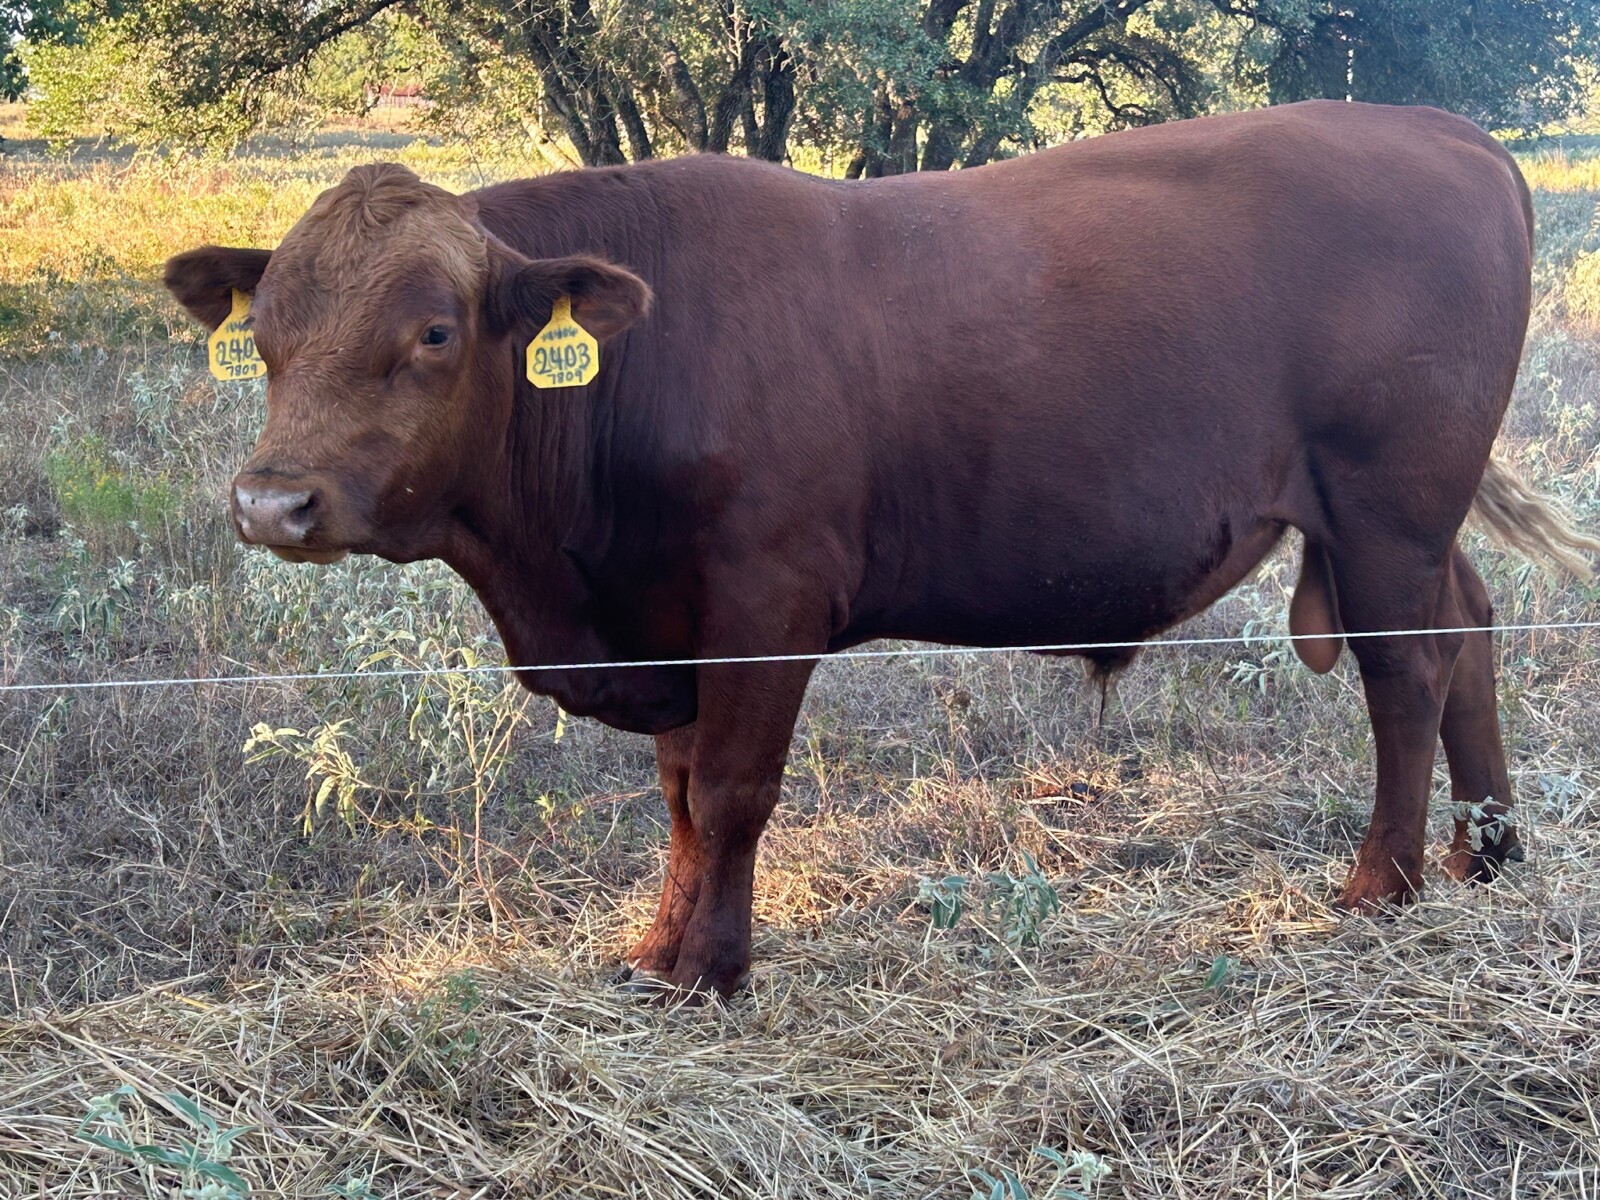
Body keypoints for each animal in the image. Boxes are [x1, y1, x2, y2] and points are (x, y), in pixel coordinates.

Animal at [165, 100, 1598, 1001]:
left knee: (1405, 672)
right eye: (265, 329)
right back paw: (1486, 851)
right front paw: (654, 951)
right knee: (1469, 632)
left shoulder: (766, 598)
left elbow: (731, 793)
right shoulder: (677, 621)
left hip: (1385, 500)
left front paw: (711, 972)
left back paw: (1381, 886)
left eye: (435, 331)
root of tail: (1440, 130)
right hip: (1401, 520)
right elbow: (678, 800)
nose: (272, 503)